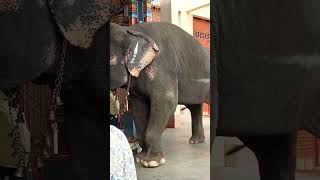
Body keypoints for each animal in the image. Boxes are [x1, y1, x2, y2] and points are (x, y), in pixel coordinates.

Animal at [110, 22, 212, 167]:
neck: (131, 30)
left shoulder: (162, 67)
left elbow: (167, 101)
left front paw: (152, 162)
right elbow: (138, 108)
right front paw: (140, 158)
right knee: (194, 106)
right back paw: (196, 141)